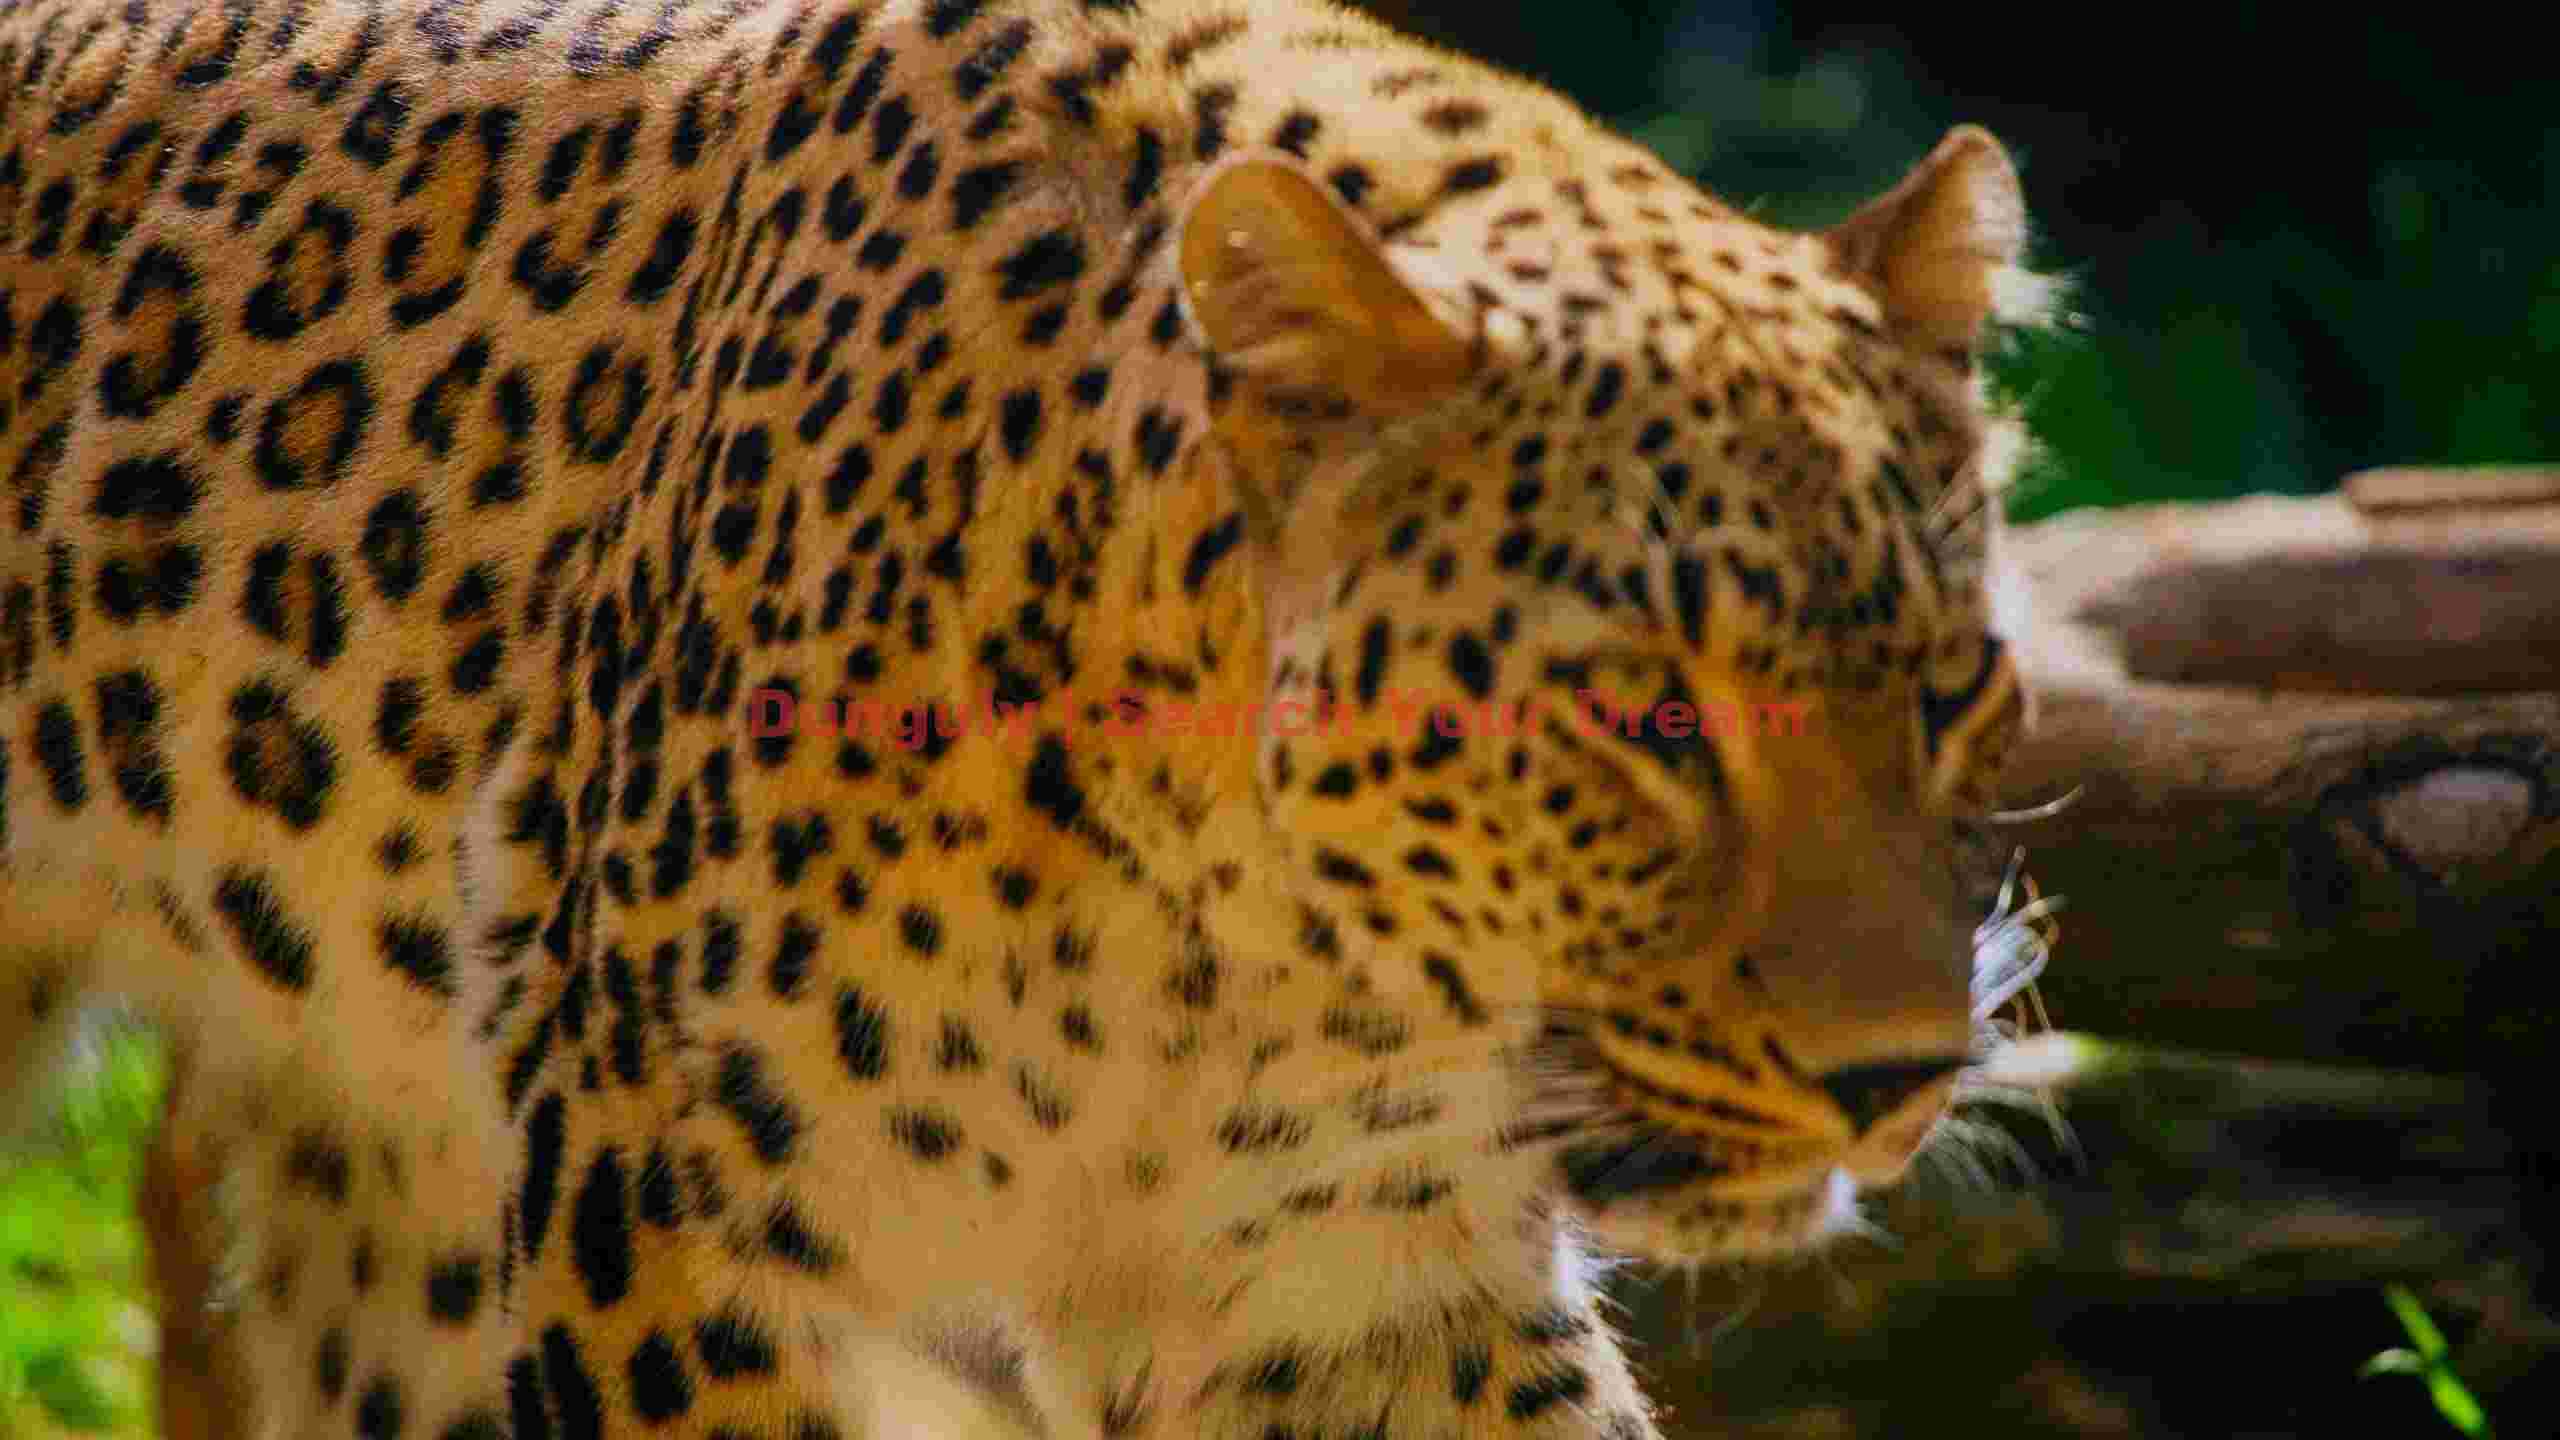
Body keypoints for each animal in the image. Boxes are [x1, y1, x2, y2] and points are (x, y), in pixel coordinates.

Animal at [0, 0, 2059, 1434]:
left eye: (1954, 691)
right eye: (1640, 713)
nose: (1896, 1077)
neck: (1225, 961)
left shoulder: (1364, 1295)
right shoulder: (660, 1227)